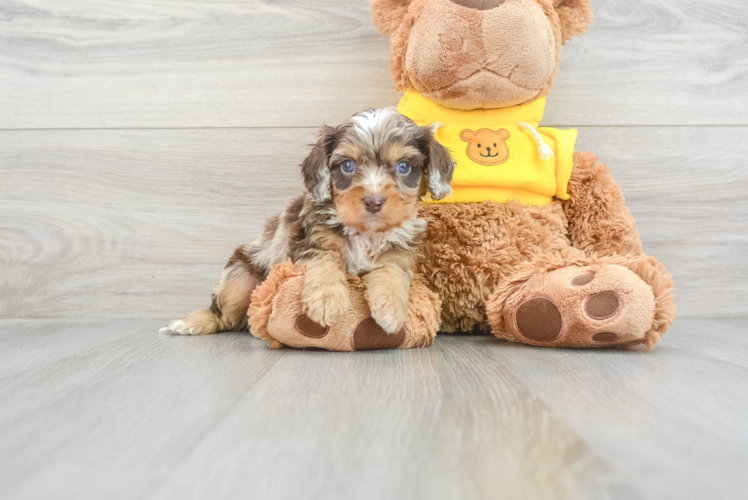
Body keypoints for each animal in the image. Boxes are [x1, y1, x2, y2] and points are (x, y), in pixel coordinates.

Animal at [163, 109, 452, 336]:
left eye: (404, 167)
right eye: (347, 165)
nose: (373, 201)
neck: (365, 232)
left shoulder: (398, 253)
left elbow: (392, 273)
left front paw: (391, 311)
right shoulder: (308, 241)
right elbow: (325, 261)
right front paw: (326, 302)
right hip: (239, 276)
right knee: (225, 316)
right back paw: (193, 322)